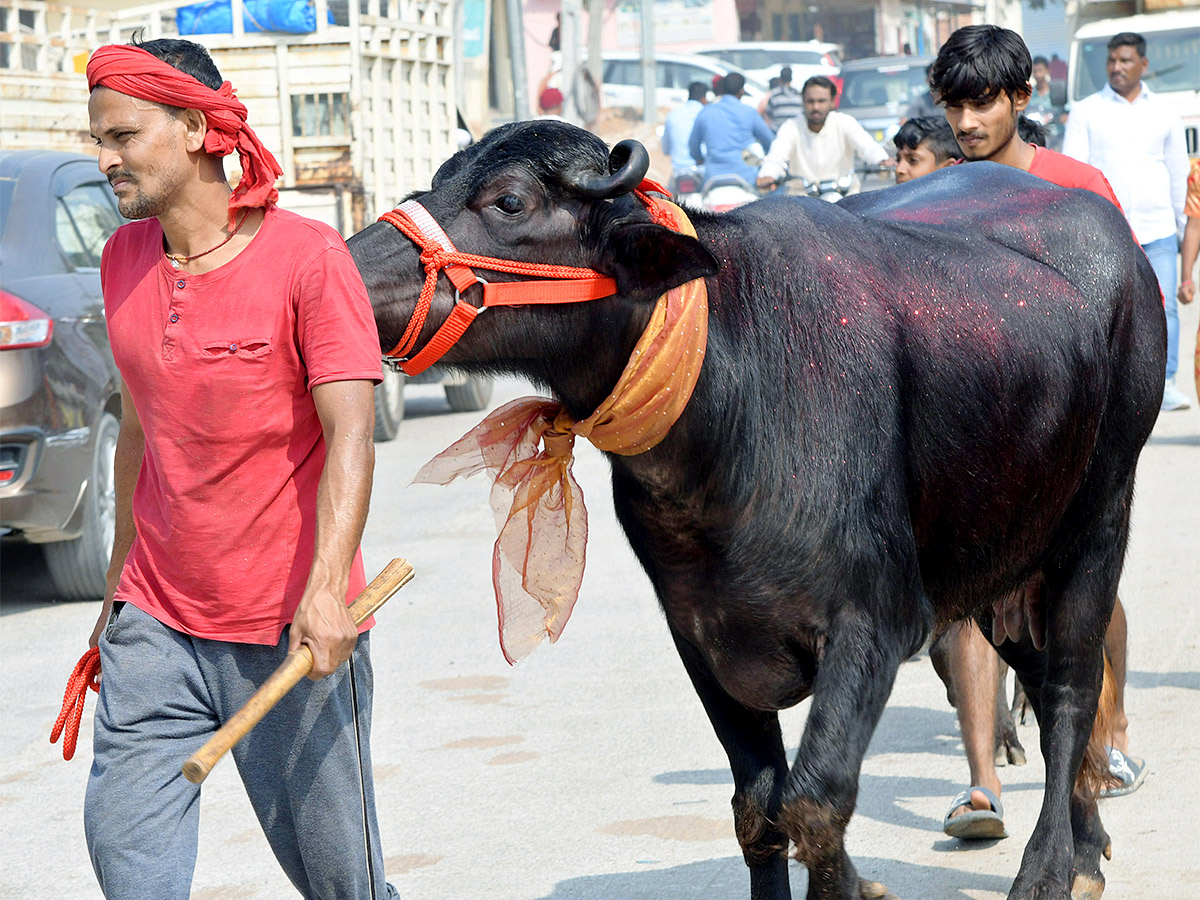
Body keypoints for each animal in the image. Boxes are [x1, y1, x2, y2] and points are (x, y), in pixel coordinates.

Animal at [345, 121, 1161, 900]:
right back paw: (1088, 844)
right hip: (1001, 562)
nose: (341, 268)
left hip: (1098, 526)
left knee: (1071, 692)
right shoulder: (702, 636)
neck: (730, 396)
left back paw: (1050, 871)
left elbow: (816, 799)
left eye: (509, 201)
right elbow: (758, 810)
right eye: (441, 178)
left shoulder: (876, 621)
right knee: (1042, 679)